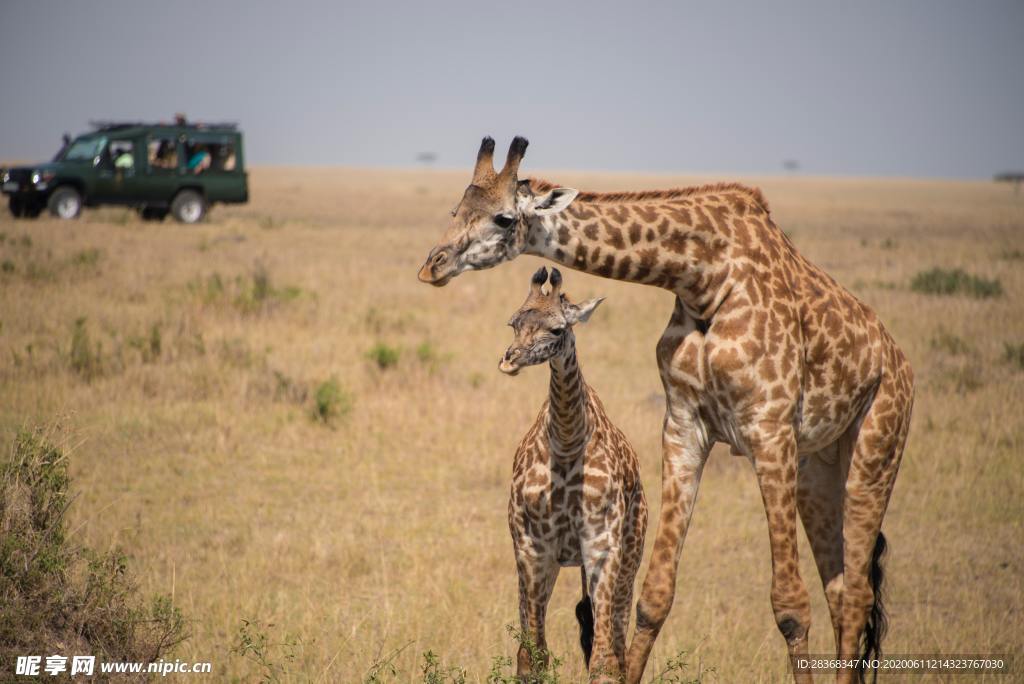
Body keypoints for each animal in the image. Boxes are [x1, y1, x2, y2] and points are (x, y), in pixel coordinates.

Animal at [497, 266, 647, 679]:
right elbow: (531, 656)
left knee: (614, 643)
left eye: (556, 329)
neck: (566, 440)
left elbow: (604, 660)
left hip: (629, 556)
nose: (509, 360)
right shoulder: (531, 548)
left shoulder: (601, 544)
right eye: (513, 322)